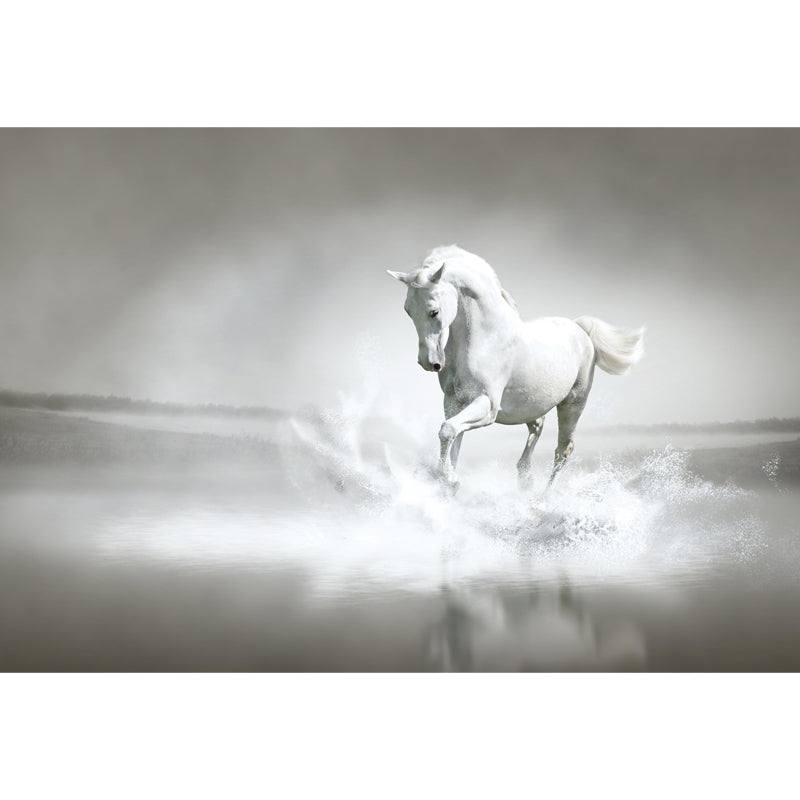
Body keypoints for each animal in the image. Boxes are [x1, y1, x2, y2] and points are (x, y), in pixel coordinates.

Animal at [388, 245, 644, 488]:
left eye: (434, 311)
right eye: (408, 311)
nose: (429, 362)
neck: (485, 339)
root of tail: (580, 329)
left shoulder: (487, 405)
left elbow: (447, 430)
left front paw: (450, 479)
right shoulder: (454, 402)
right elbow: (452, 439)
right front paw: (448, 481)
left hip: (573, 404)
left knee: (562, 450)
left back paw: (542, 498)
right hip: (532, 404)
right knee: (538, 427)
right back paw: (525, 479)